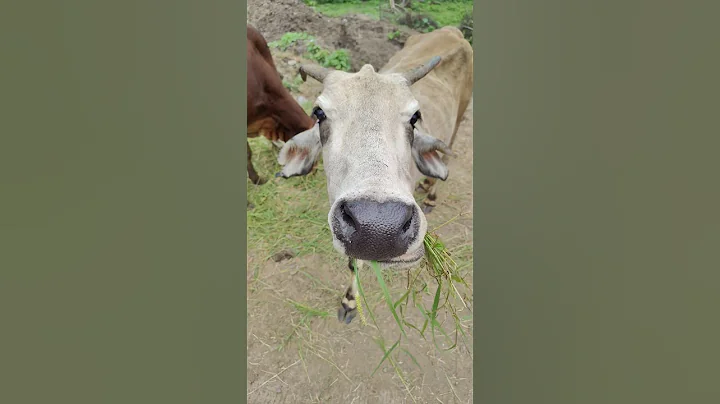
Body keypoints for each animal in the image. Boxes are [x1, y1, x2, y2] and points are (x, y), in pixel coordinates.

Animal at [276, 27, 473, 324]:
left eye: (415, 117)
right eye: (319, 113)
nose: (380, 228)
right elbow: (354, 262)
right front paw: (349, 301)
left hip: (461, 113)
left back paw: (432, 193)